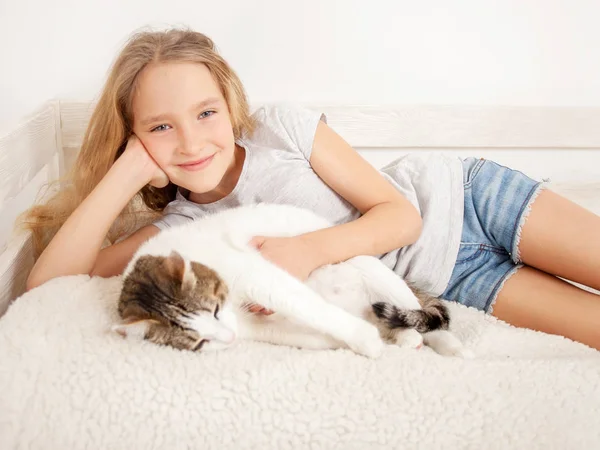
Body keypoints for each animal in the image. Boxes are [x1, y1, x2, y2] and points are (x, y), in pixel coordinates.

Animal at [112, 204, 474, 358]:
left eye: (214, 310)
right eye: (199, 342)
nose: (228, 337)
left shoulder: (261, 275)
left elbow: (310, 307)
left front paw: (364, 342)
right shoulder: (257, 326)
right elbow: (301, 332)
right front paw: (342, 342)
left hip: (373, 269)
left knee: (423, 314)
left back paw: (444, 343)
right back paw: (401, 336)